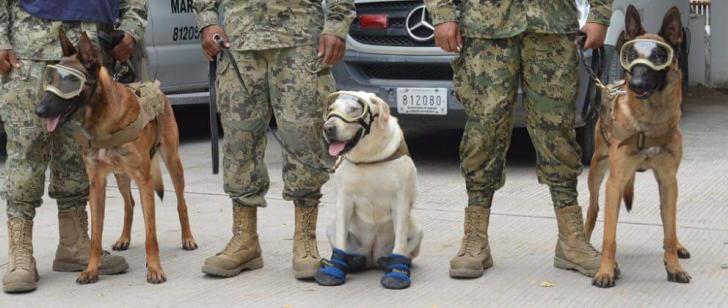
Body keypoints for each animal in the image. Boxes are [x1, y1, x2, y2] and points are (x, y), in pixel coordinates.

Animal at [35, 30, 198, 284]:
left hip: (172, 162)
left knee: (181, 203)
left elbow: (151, 234)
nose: (39, 111)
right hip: (121, 177)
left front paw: (154, 268)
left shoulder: (144, 181)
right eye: (50, 79)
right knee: (129, 204)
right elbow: (96, 234)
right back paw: (124, 238)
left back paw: (187, 238)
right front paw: (91, 269)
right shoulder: (97, 184)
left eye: (70, 82)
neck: (102, 121)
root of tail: (156, 87)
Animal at [316, 91, 424, 288]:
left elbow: (400, 242)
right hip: (331, 228)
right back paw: (353, 261)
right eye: (331, 109)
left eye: (354, 109)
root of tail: (372, 256)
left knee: (404, 249)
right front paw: (334, 269)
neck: (368, 158)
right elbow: (341, 240)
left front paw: (397, 273)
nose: (328, 128)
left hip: (417, 230)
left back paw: (391, 261)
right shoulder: (344, 200)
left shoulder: (401, 200)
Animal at [584, 5, 692, 288]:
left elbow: (669, 230)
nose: (635, 85)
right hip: (596, 170)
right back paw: (584, 242)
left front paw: (673, 267)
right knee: (593, 209)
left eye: (658, 56)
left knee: (668, 220)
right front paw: (605, 271)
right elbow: (609, 237)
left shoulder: (668, 180)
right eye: (631, 55)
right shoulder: (615, 182)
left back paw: (678, 246)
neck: (649, 122)